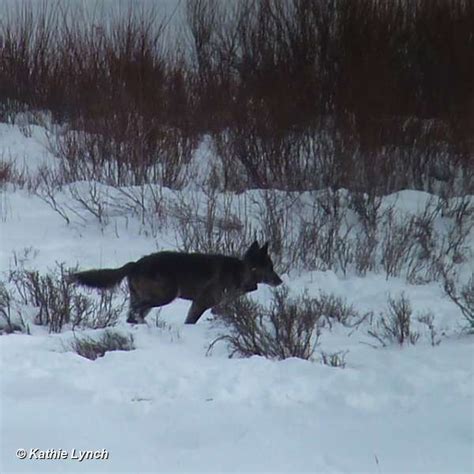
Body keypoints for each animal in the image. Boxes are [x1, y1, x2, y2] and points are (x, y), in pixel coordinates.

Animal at [69, 243, 284, 324]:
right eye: (271, 267)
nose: (280, 281)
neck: (243, 271)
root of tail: (135, 264)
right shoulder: (201, 303)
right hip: (165, 296)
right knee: (137, 311)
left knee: (132, 314)